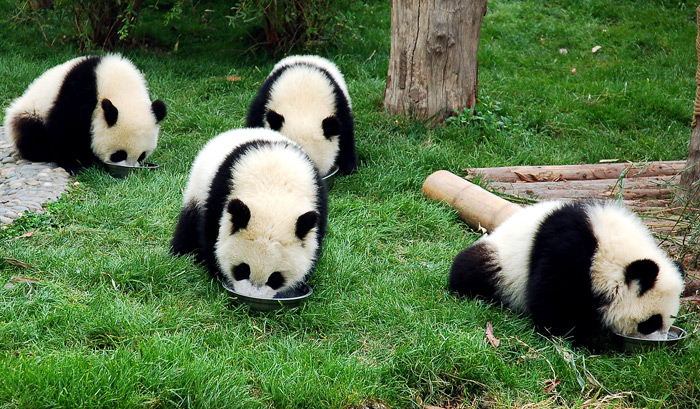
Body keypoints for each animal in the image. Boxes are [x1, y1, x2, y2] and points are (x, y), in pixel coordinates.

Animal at [3, 54, 167, 174]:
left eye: (142, 155)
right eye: (119, 154)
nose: (128, 169)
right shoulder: (79, 94)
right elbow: (66, 130)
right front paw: (75, 165)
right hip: (30, 112)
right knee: (30, 132)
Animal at [171, 128, 328, 299]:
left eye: (275, 278)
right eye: (243, 269)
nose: (252, 295)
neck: (274, 193)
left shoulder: (318, 201)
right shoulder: (221, 193)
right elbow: (211, 234)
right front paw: (216, 272)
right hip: (198, 187)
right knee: (189, 224)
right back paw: (181, 254)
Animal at [448, 200, 685, 346]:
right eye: (651, 322)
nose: (660, 343)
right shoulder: (567, 253)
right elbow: (552, 300)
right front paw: (585, 340)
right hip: (501, 262)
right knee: (473, 269)